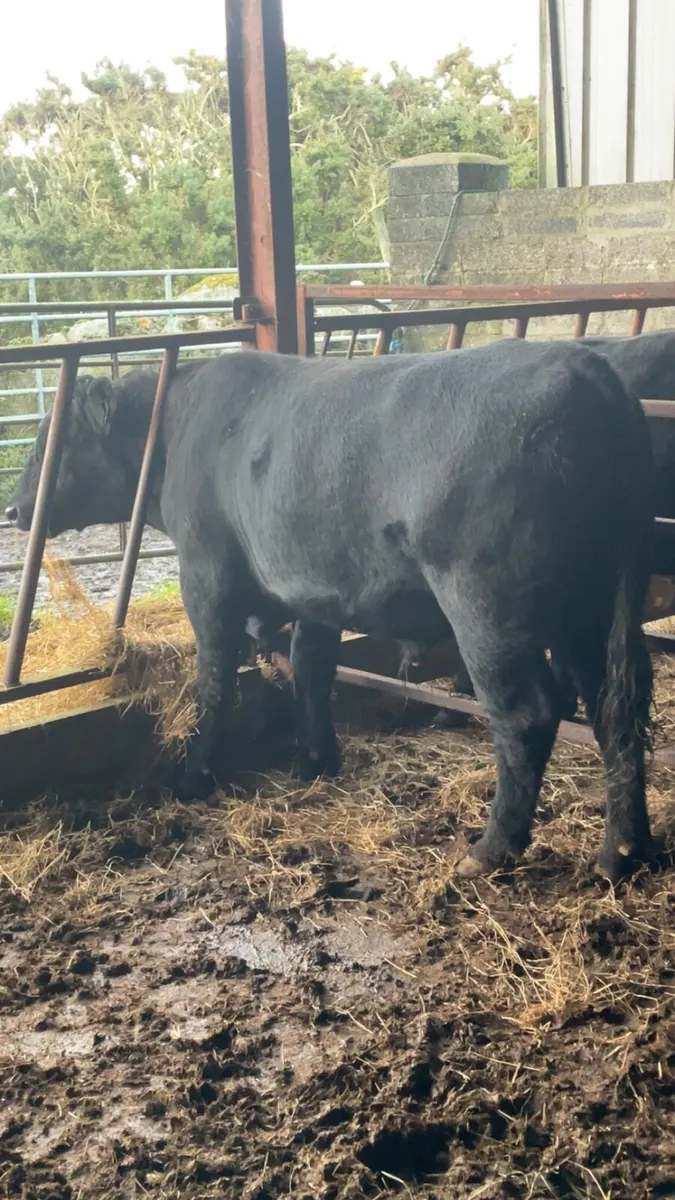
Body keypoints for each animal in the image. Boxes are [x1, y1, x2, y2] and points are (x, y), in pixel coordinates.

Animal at [6, 340, 654, 881]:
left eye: (53, 443)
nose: (14, 510)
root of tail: (586, 368)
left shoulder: (207, 575)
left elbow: (214, 679)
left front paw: (195, 776)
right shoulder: (316, 586)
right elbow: (311, 667)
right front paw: (316, 758)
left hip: (488, 605)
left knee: (527, 714)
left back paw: (492, 849)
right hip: (589, 605)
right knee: (615, 707)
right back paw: (624, 852)